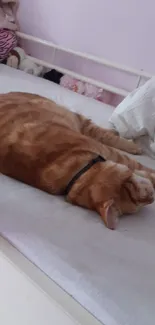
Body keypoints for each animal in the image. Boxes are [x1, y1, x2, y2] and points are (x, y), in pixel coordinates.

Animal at [0, 90, 154, 228]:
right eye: (136, 201)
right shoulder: (110, 153)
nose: (151, 197)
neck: (76, 173)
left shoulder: (105, 151)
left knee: (102, 132)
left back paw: (125, 140)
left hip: (74, 117)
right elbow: (141, 168)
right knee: (102, 133)